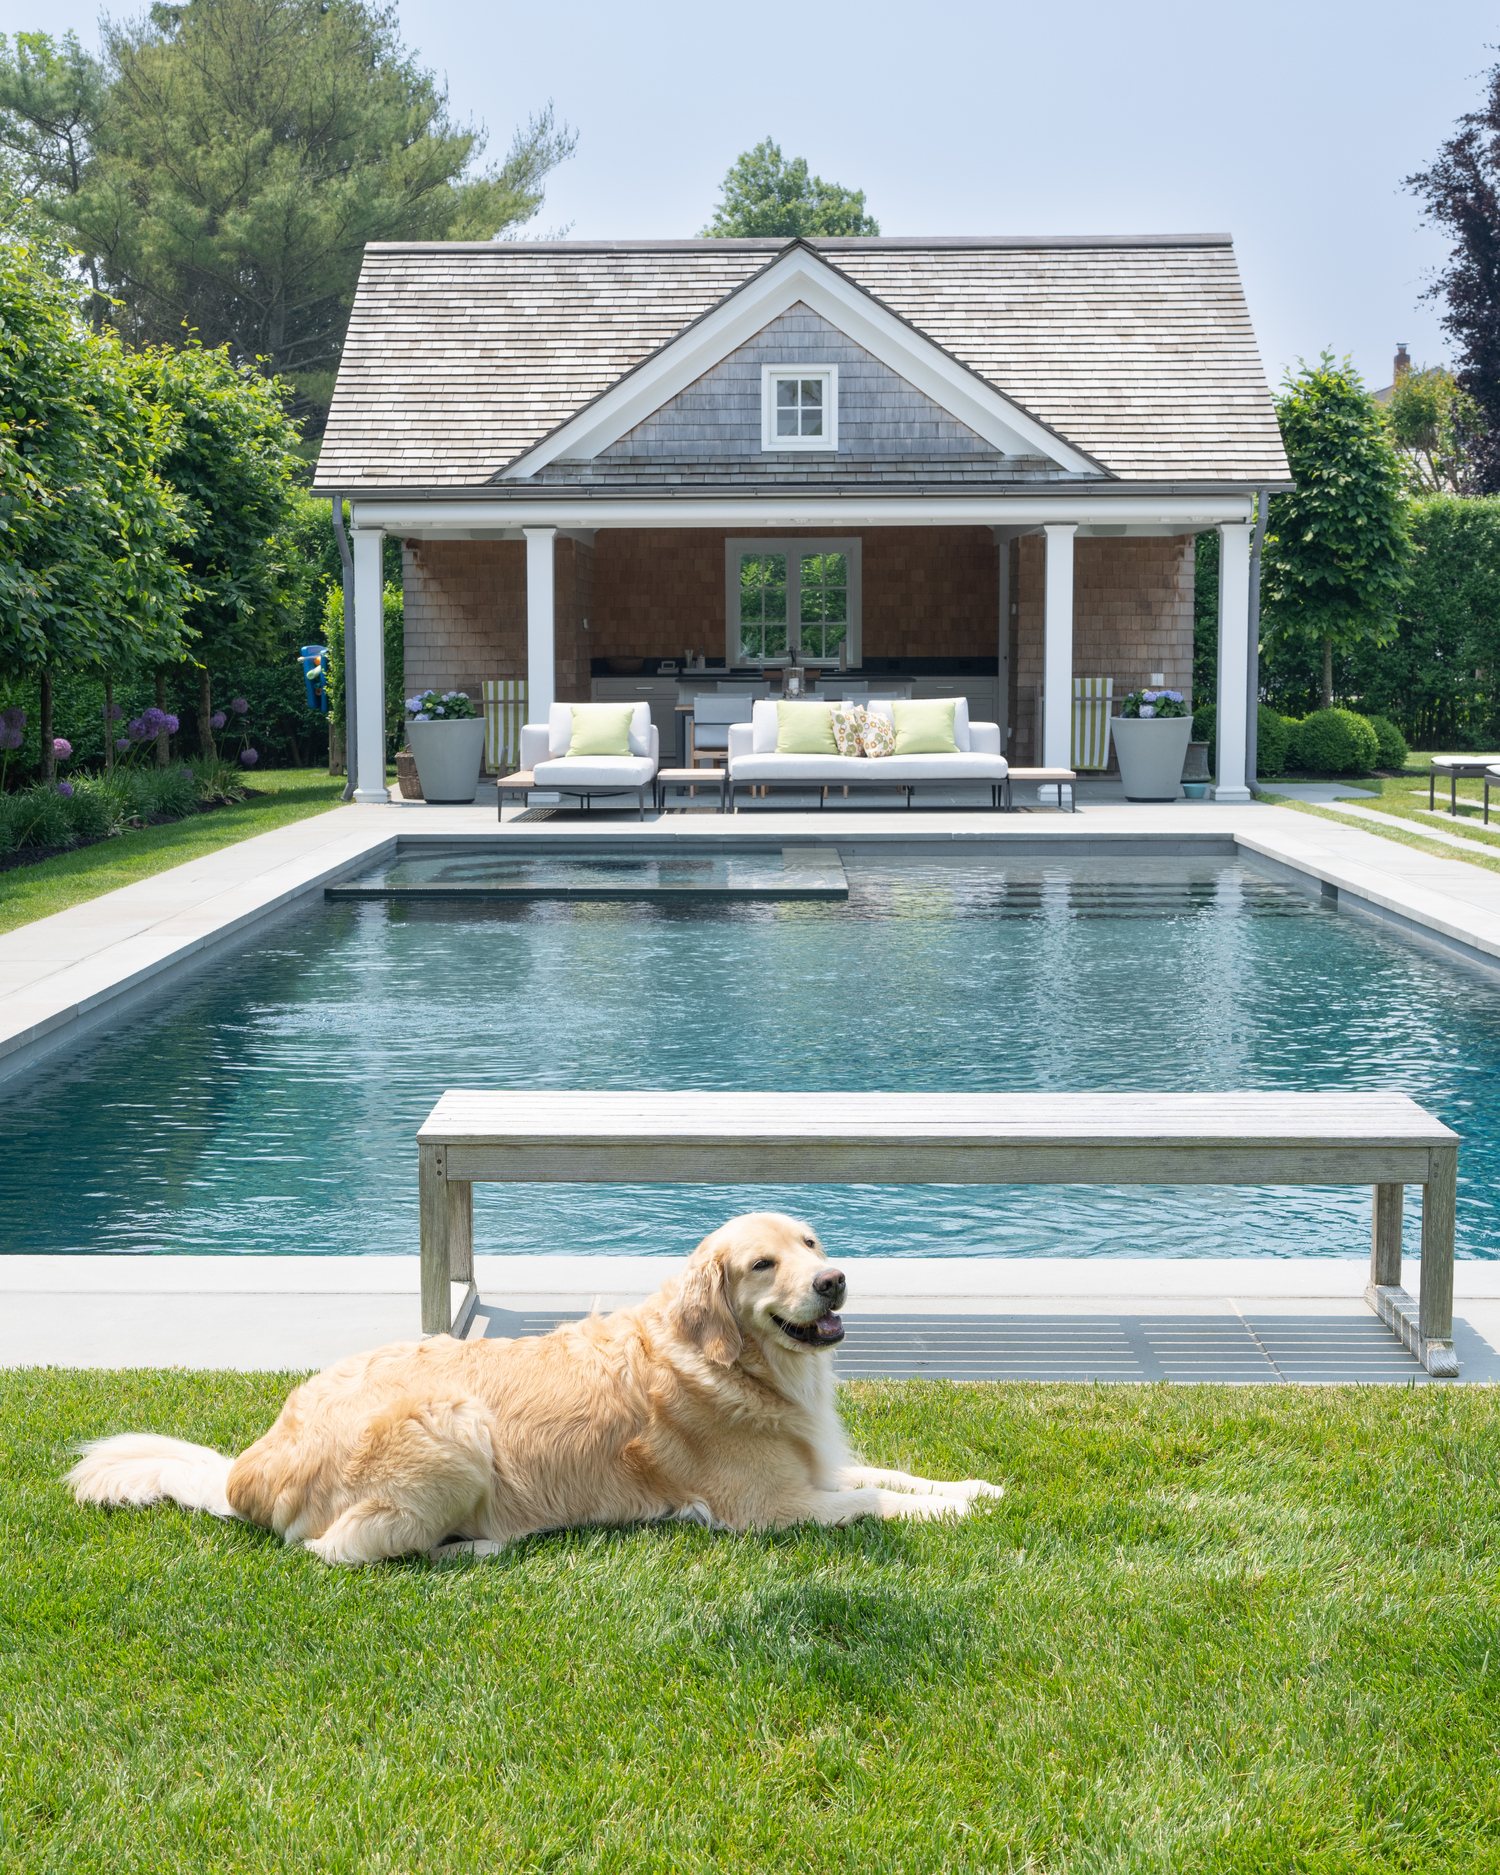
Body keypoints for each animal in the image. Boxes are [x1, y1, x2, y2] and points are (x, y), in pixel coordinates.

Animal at [73, 1207, 1005, 1560]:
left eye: (811, 1243)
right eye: (763, 1264)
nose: (836, 1280)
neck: (738, 1363)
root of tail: (248, 1463)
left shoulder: (815, 1463)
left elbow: (890, 1471)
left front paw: (972, 1486)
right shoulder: (769, 1509)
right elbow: (876, 1499)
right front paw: (950, 1511)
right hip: (450, 1426)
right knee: (342, 1550)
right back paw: (485, 1545)